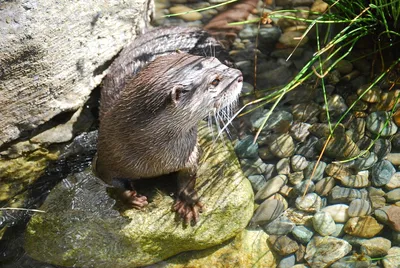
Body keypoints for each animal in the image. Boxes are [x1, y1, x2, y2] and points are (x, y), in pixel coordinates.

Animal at [95, 27, 242, 224]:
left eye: (216, 62)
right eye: (215, 81)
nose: (239, 75)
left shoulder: (190, 152)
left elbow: (189, 175)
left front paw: (188, 201)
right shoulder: (106, 156)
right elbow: (110, 182)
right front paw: (131, 197)